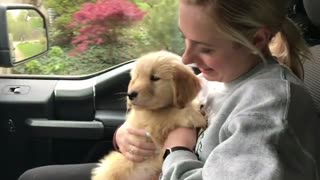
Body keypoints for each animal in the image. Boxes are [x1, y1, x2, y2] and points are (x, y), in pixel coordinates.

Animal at [91, 50, 206, 180]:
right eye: (136, 77)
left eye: (155, 78)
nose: (130, 94)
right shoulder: (150, 124)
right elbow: (166, 115)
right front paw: (194, 116)